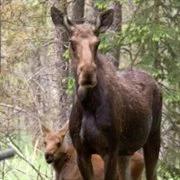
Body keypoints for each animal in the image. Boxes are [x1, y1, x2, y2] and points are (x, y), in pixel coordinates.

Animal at [50, 6, 162, 179]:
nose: (88, 72)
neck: (87, 105)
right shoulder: (82, 152)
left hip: (153, 137)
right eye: (72, 42)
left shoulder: (110, 150)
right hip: (126, 152)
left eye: (97, 42)